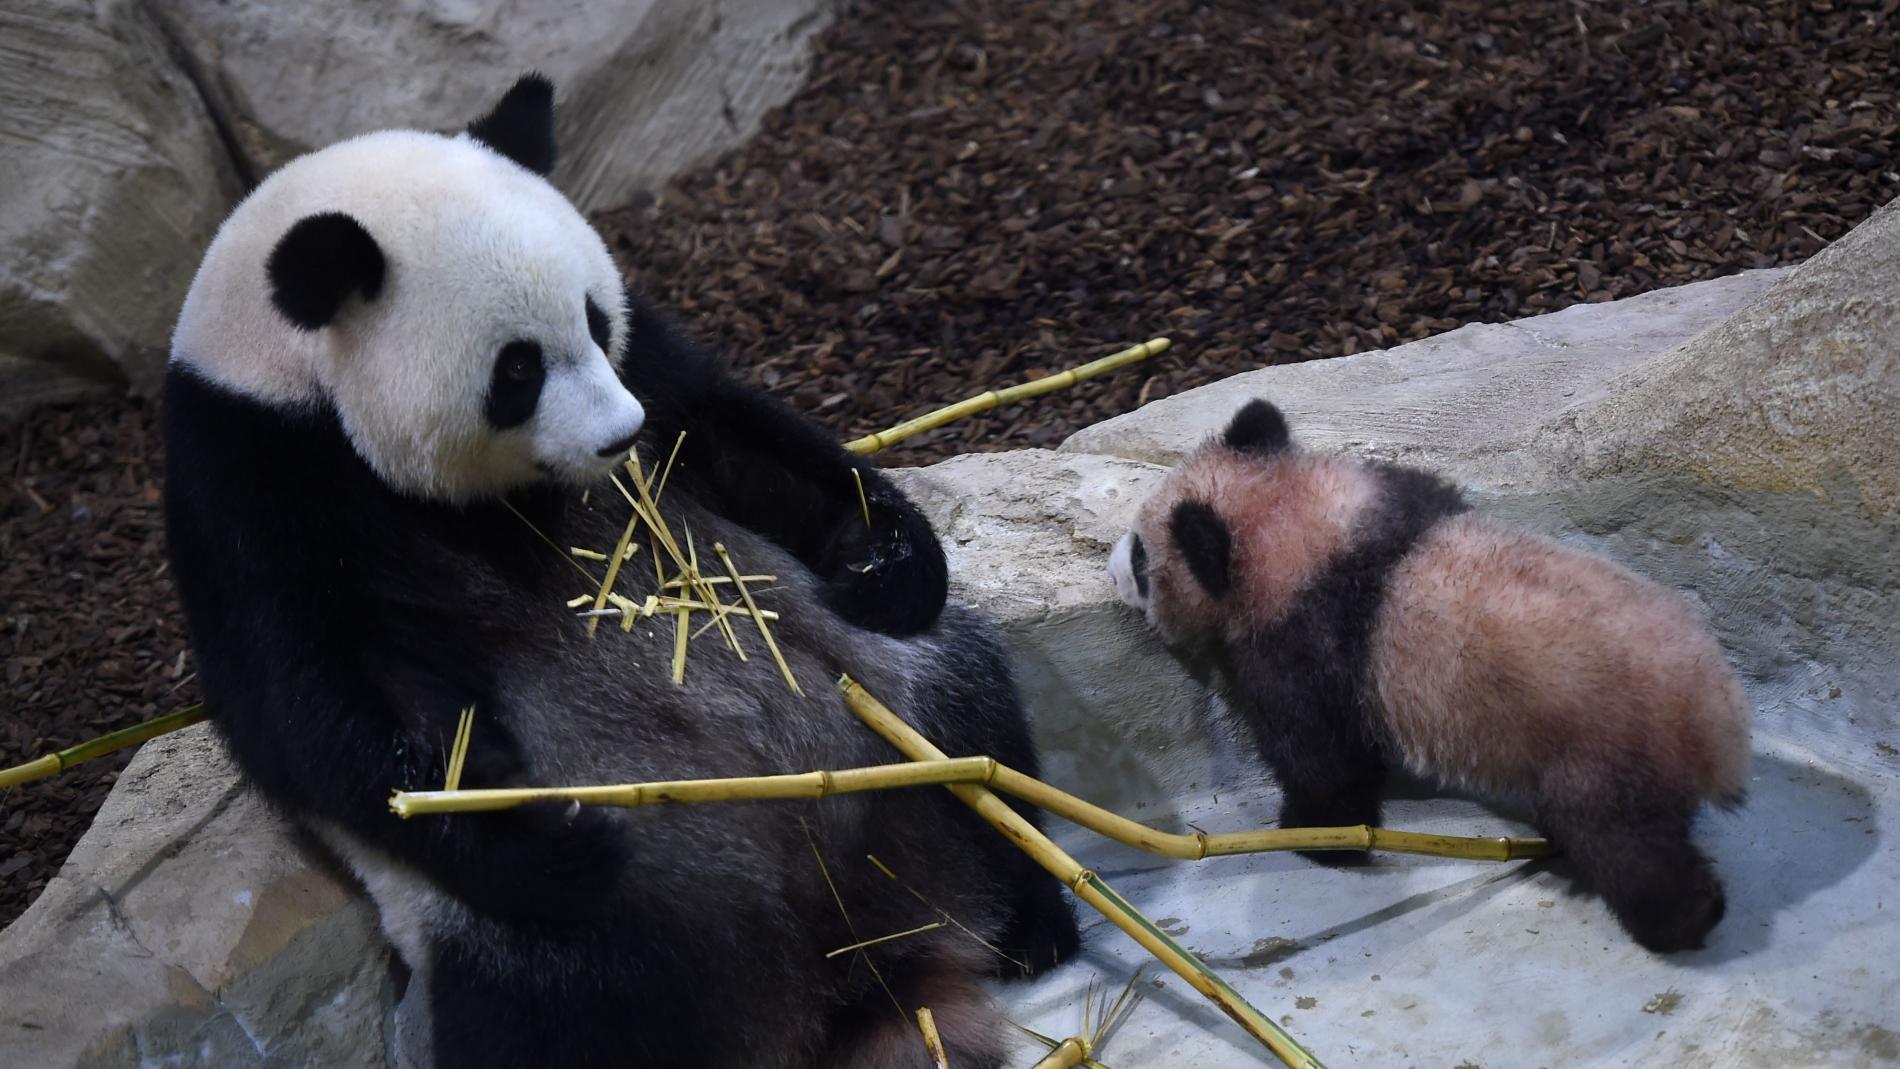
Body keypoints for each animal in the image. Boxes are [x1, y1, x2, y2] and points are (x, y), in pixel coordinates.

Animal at [167, 77, 1071, 1069]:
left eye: (595, 320)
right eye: (516, 369)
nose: (617, 435)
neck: (287, 372)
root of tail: (844, 967)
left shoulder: (653, 362)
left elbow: (729, 430)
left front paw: (889, 558)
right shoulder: (254, 486)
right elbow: (322, 713)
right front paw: (551, 839)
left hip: (887, 713)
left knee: (974, 735)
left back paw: (1034, 921)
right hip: (558, 938)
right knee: (534, 1009)